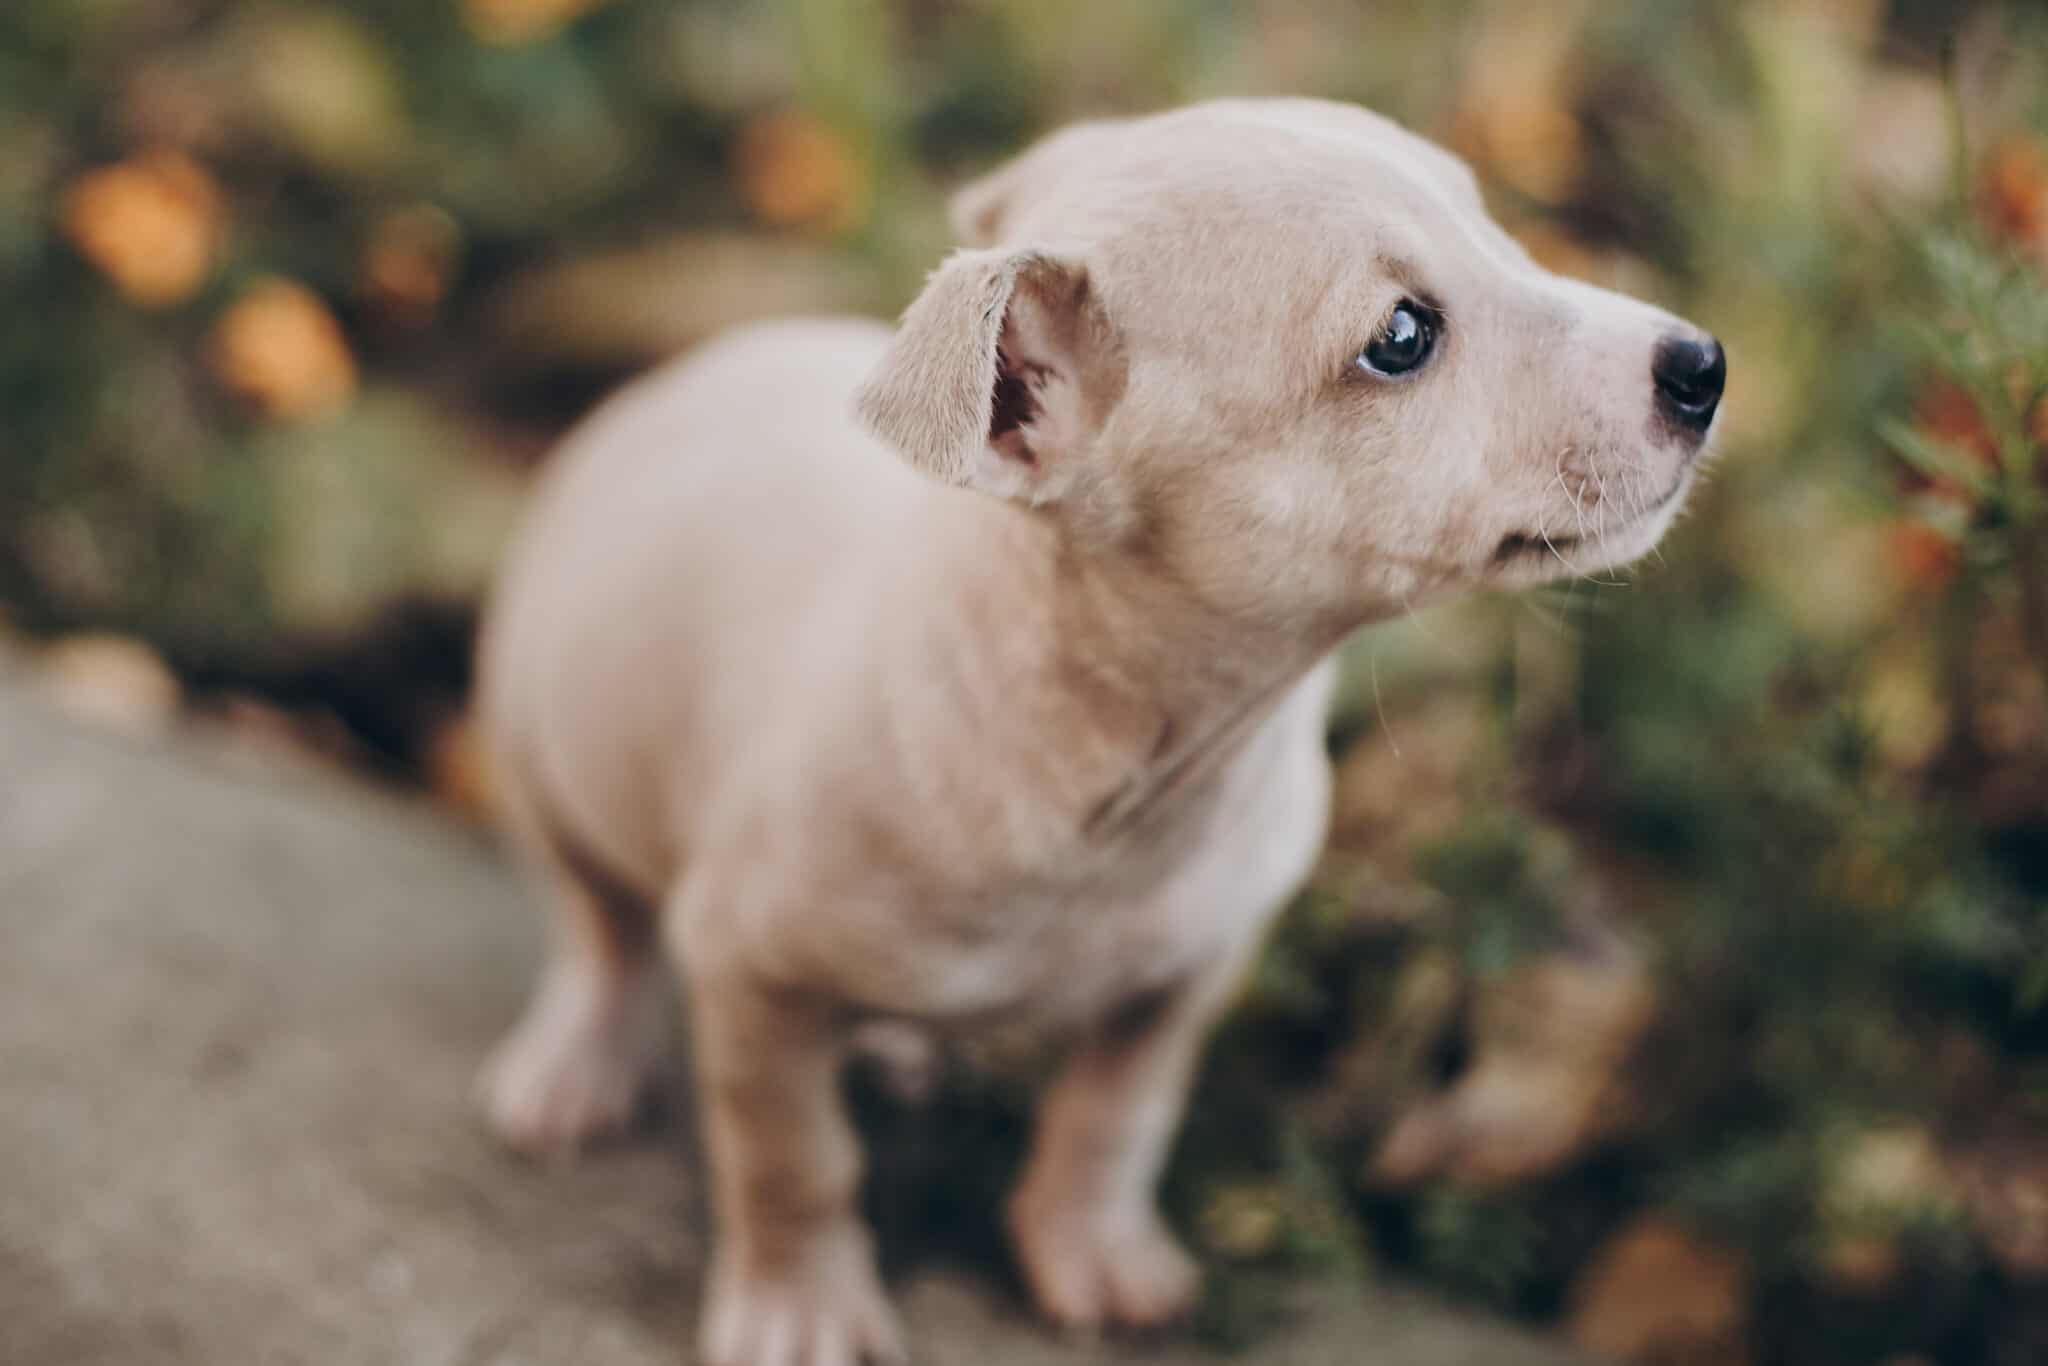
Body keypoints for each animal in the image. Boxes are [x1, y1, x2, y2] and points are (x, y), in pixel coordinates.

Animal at [471, 96, 1720, 1366]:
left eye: (1494, 229)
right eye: (1402, 337)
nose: (1701, 365)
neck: (1134, 759)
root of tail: (690, 368)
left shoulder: (1183, 973)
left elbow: (1114, 1121)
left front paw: (1091, 1254)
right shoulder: (746, 975)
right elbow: (794, 1156)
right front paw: (801, 1302)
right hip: (536, 750)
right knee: (600, 932)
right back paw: (573, 1067)